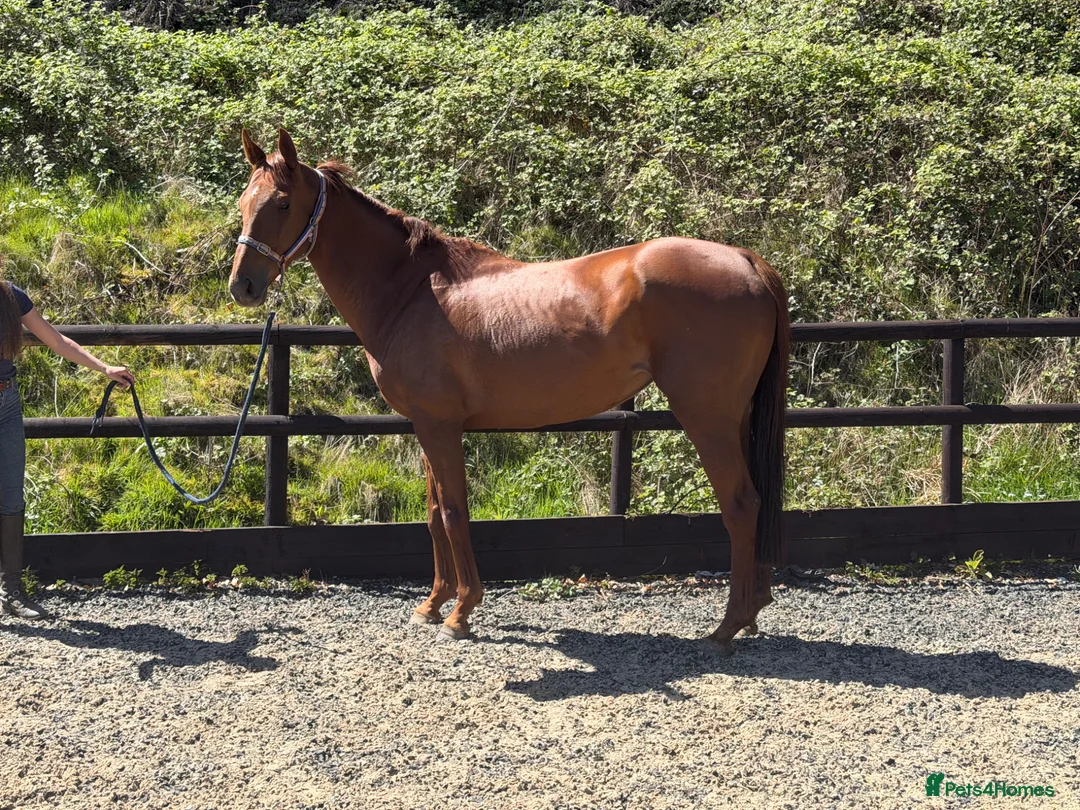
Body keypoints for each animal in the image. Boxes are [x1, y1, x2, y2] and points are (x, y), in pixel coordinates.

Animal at [230, 128, 789, 652]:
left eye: (282, 203)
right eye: (243, 201)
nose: (243, 286)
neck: (411, 293)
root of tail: (746, 259)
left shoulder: (440, 426)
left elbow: (454, 512)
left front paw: (461, 613)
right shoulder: (426, 425)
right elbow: (433, 515)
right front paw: (432, 605)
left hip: (707, 418)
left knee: (741, 505)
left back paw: (725, 628)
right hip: (734, 418)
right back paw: (751, 611)